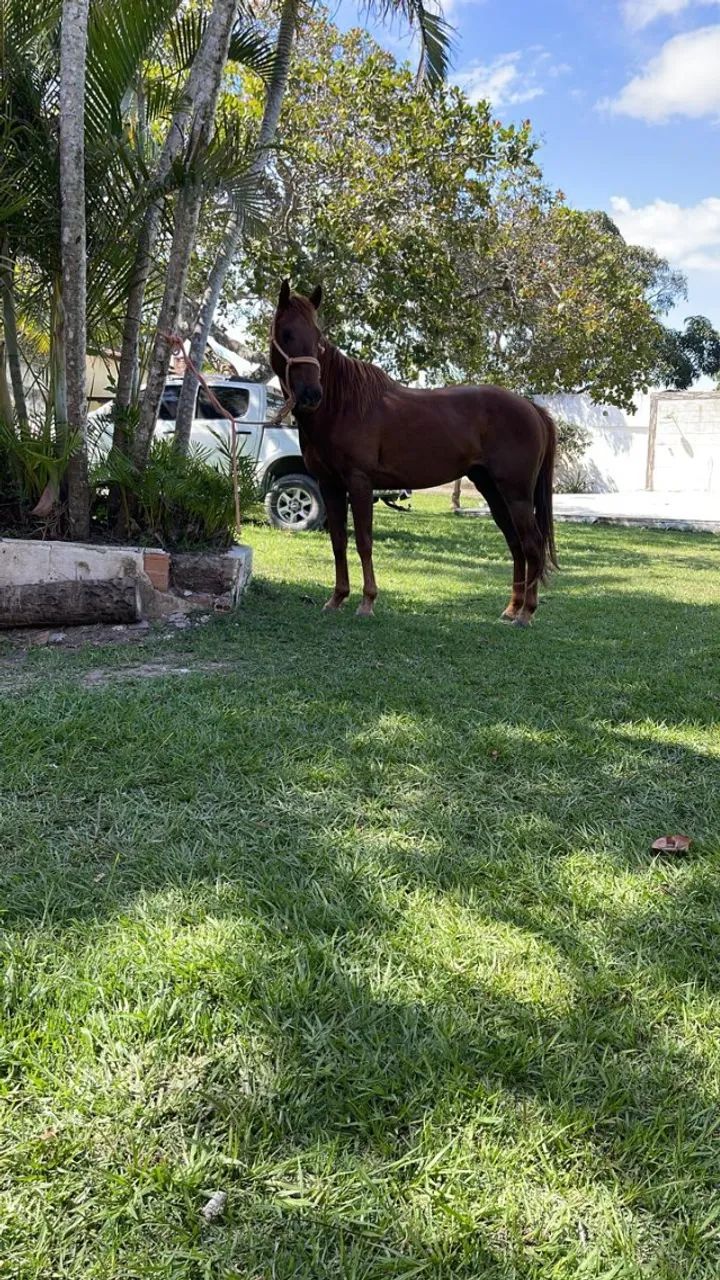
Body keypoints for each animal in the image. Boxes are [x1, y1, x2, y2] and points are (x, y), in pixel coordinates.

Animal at [270, 280, 558, 623]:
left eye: (318, 339)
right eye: (287, 333)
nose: (312, 395)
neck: (343, 405)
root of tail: (531, 407)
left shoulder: (359, 482)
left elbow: (364, 541)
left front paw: (367, 602)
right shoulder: (329, 485)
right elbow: (339, 540)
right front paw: (337, 598)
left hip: (516, 494)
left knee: (532, 544)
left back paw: (526, 613)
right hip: (492, 490)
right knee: (516, 544)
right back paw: (512, 609)